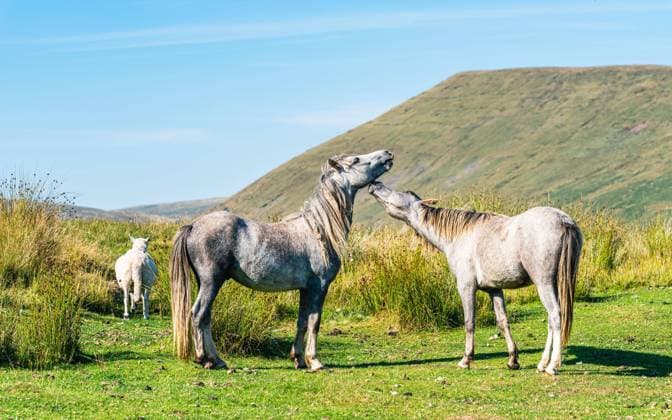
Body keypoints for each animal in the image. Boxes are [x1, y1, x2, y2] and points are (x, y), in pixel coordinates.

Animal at [170, 150, 394, 370]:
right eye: (356, 159)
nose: (387, 154)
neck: (319, 231)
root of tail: (193, 226)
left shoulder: (305, 289)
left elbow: (302, 322)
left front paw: (299, 359)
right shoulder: (319, 287)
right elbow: (315, 322)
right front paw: (315, 361)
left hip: (207, 283)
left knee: (206, 317)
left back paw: (217, 360)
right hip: (211, 282)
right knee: (198, 314)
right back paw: (204, 358)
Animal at [368, 182, 582, 375]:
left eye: (402, 192)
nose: (375, 184)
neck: (458, 236)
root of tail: (564, 220)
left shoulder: (466, 287)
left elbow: (469, 322)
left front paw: (466, 359)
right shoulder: (494, 289)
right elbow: (503, 321)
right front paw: (513, 360)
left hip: (543, 283)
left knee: (555, 315)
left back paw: (552, 365)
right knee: (551, 320)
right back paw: (542, 363)